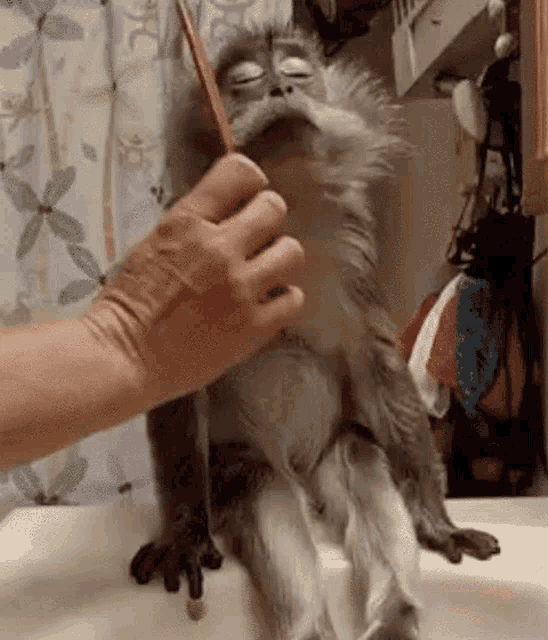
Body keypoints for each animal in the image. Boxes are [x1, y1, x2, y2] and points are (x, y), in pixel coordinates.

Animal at [129, 22, 501, 640]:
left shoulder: (355, 255)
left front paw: (436, 519)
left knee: (361, 462)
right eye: (245, 83)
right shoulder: (188, 239)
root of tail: (301, 471)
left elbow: (377, 362)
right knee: (265, 496)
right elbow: (176, 370)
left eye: (297, 74)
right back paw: (308, 621)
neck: (284, 207)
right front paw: (183, 534)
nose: (281, 90)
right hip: (245, 464)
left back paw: (395, 611)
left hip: (332, 447)